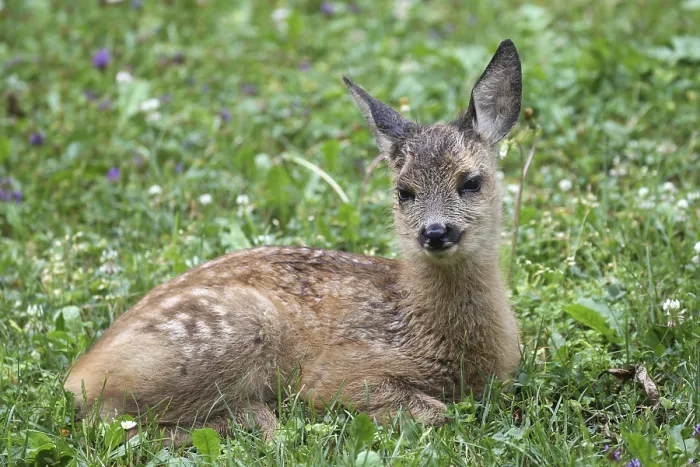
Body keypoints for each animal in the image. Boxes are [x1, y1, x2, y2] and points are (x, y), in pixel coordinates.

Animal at [64, 39, 522, 445]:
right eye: (403, 192)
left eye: (471, 182)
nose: (435, 232)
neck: (415, 317)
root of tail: (81, 372)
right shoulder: (341, 373)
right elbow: (435, 410)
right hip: (236, 329)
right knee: (112, 421)